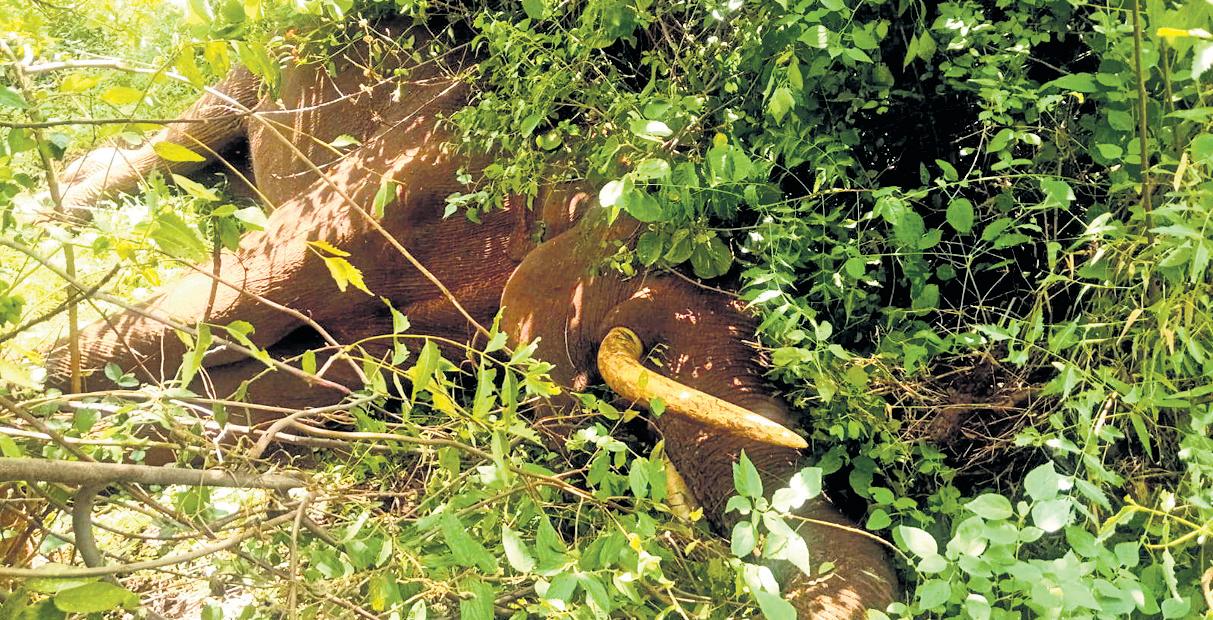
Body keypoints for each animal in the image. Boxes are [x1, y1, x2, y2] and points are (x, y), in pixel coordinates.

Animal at [42, 18, 897, 618]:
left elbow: (331, 384)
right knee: (178, 149)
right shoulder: (401, 180)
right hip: (248, 61)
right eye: (653, 340)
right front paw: (54, 422)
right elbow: (228, 296)